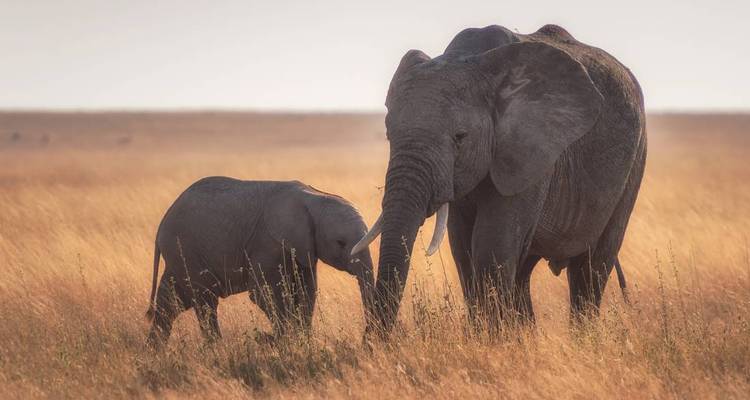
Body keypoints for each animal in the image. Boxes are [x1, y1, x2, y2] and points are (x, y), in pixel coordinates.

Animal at [145, 177, 375, 347]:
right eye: (340, 242)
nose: (366, 340)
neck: (314, 197)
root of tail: (161, 224)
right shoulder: (266, 242)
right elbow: (264, 293)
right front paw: (284, 342)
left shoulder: (303, 248)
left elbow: (307, 291)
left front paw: (301, 342)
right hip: (184, 248)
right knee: (205, 301)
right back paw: (216, 349)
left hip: (181, 254)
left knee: (171, 301)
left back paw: (155, 352)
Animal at [351, 24, 646, 334]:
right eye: (388, 134)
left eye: (460, 137)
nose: (373, 342)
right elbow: (463, 248)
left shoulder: (530, 151)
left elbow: (491, 245)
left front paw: (493, 340)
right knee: (524, 271)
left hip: (635, 161)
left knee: (591, 267)